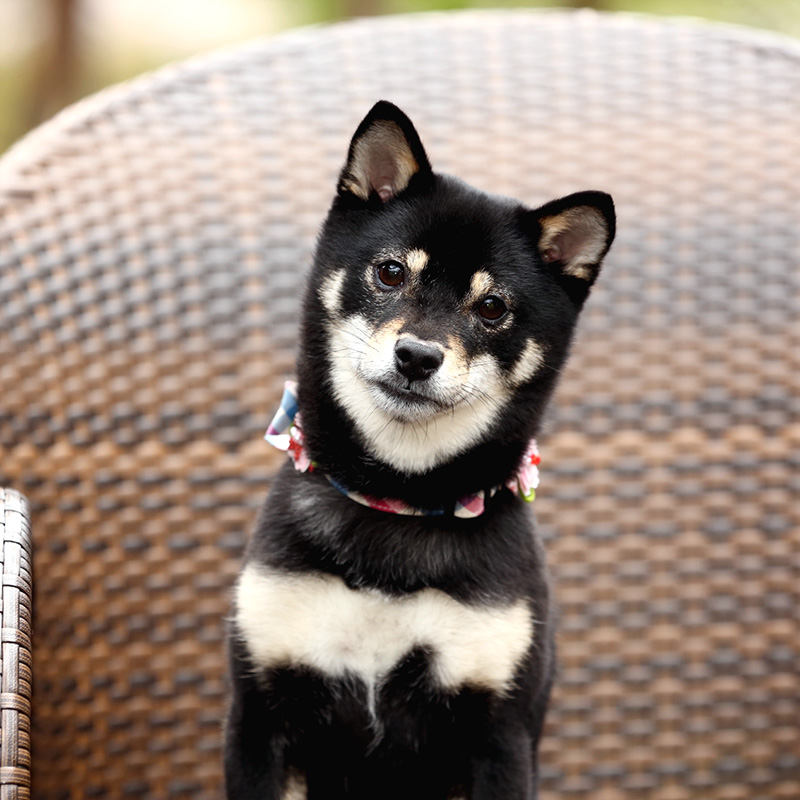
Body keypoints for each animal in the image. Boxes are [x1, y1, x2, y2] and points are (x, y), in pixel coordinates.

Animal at [225, 101, 620, 800]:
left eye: (492, 307)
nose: (417, 356)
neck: (399, 502)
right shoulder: (260, 719)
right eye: (390, 271)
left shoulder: (498, 736)